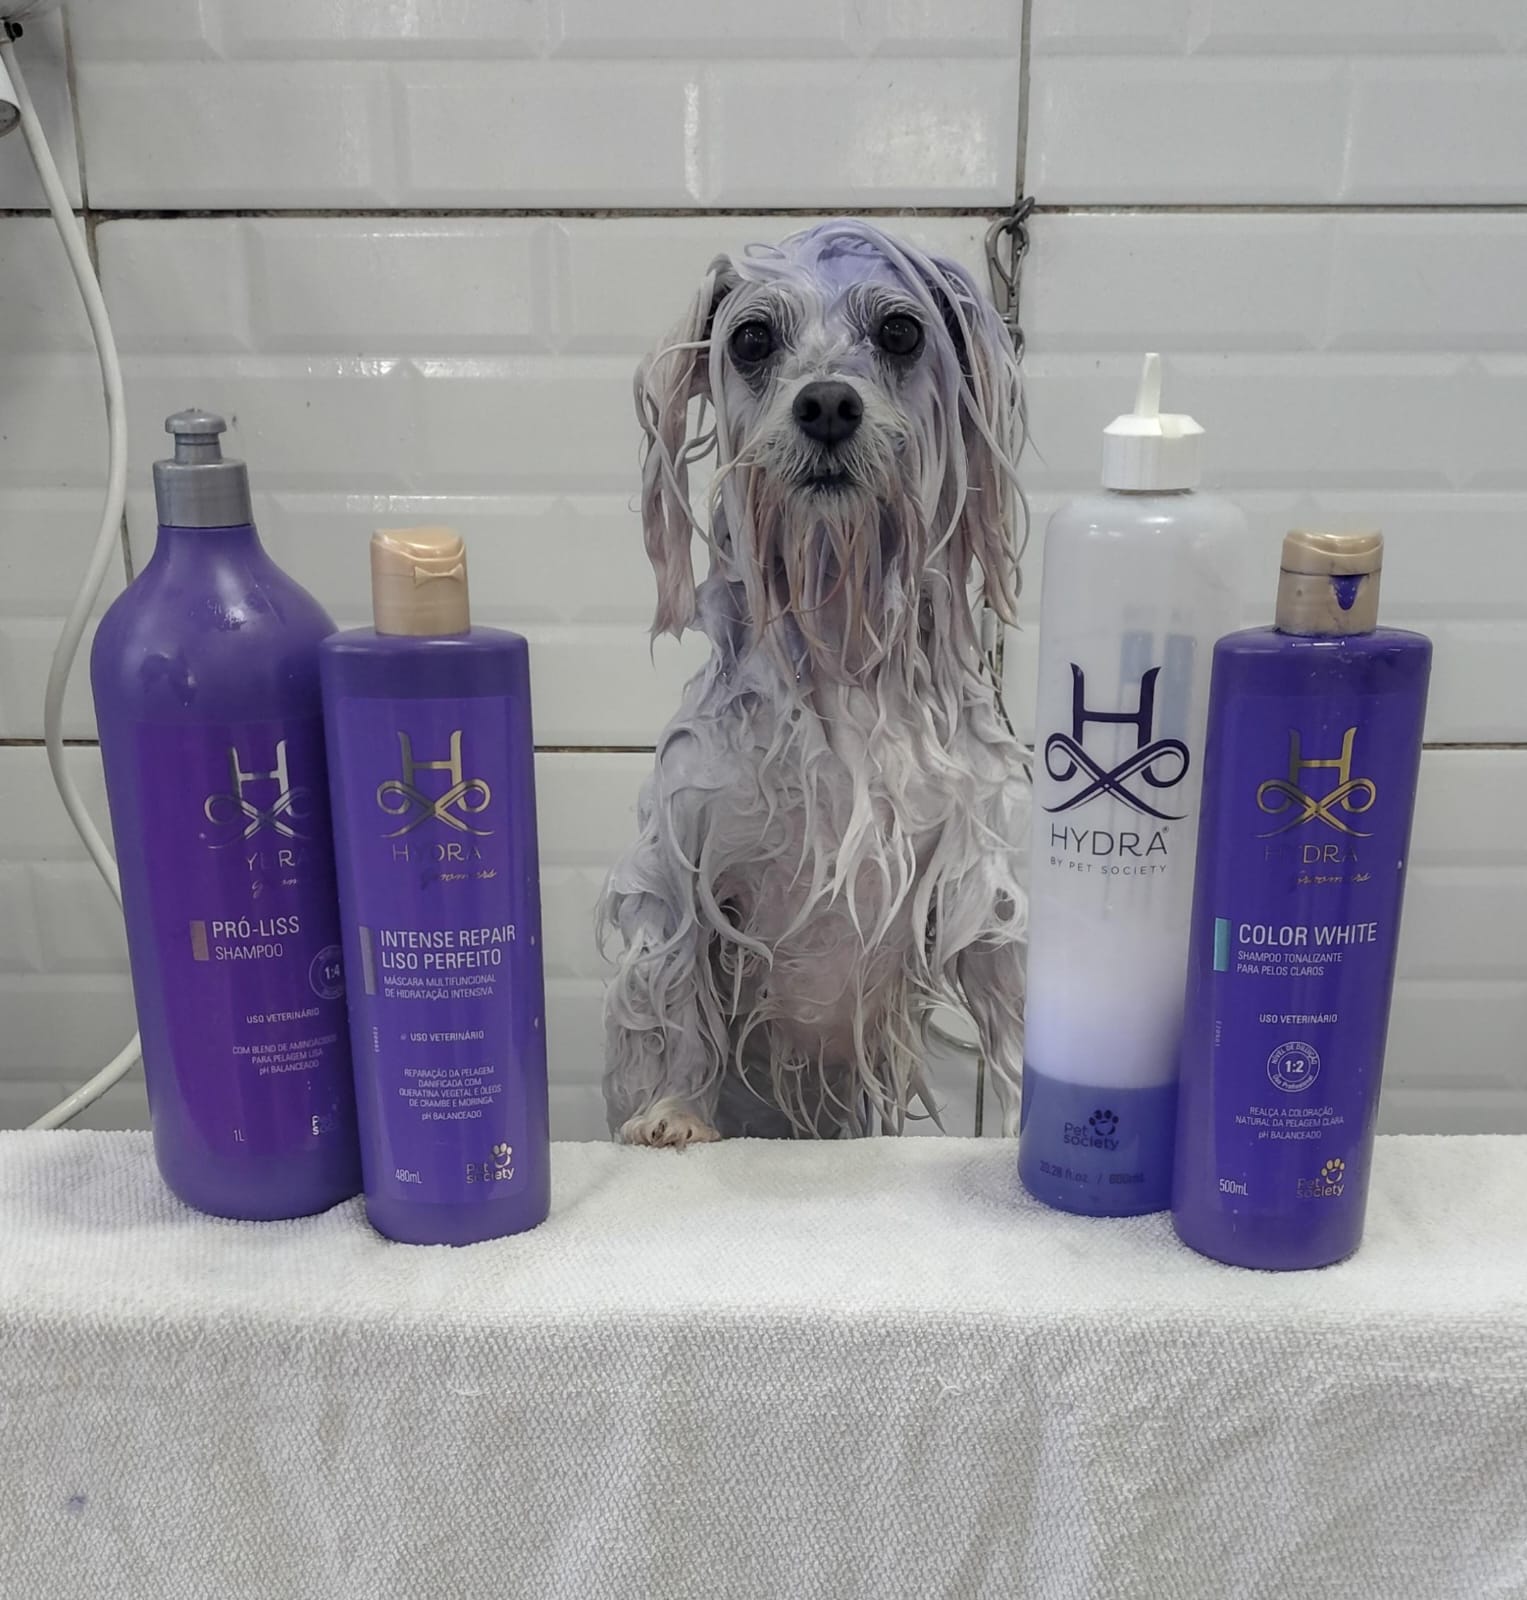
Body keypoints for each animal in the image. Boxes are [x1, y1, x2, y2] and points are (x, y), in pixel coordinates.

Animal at [599, 219, 1029, 1146]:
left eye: (899, 330)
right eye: (752, 339)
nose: (827, 403)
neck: (839, 651)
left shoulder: (976, 875)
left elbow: (1013, 1010)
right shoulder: (680, 863)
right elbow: (678, 998)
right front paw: (673, 1115)